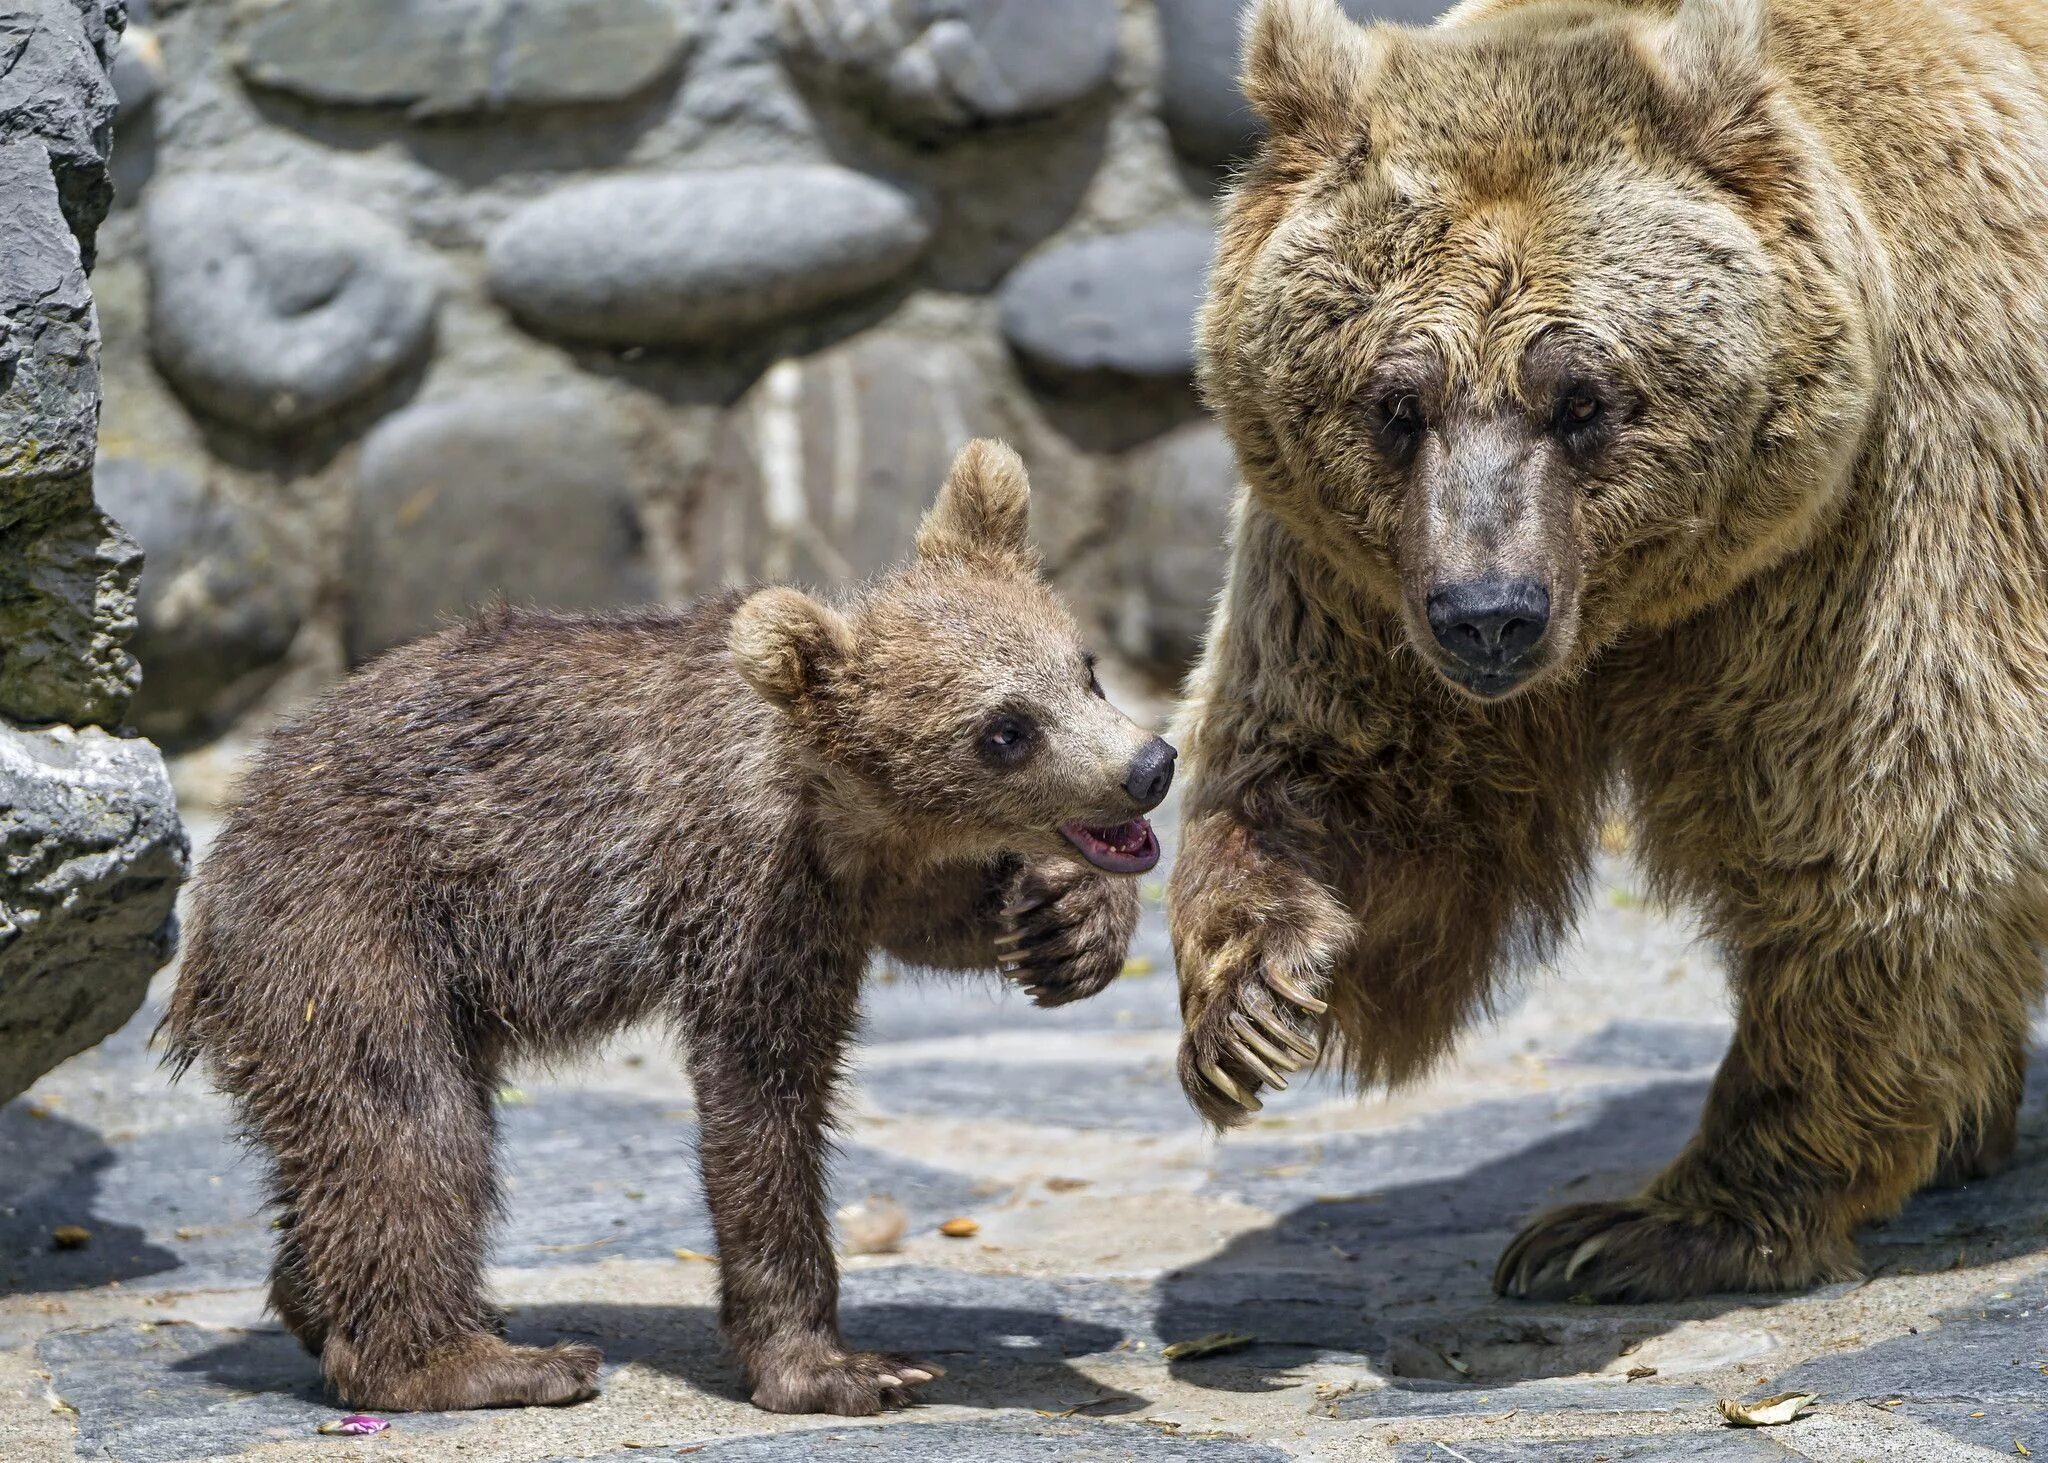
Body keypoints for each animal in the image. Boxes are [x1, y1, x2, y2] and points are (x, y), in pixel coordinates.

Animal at [1171, 0, 2048, 1294]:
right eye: (1394, 402)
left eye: (1581, 397)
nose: (1488, 612)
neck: (1647, 607)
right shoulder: (1358, 583)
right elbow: (1347, 778)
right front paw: (1251, 1000)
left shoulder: (1886, 519)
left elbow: (1895, 827)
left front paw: (1649, 1222)